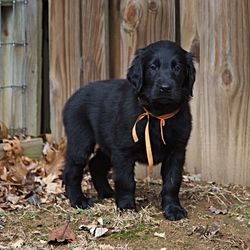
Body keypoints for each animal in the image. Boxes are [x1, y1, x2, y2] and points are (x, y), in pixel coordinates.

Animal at [62, 40, 195, 221]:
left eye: (177, 67)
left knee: (96, 163)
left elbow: (172, 182)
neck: (157, 114)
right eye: (153, 67)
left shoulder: (177, 151)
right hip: (80, 141)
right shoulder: (123, 151)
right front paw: (126, 207)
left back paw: (107, 192)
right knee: (72, 170)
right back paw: (79, 200)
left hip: (108, 143)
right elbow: (126, 181)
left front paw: (173, 209)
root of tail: (73, 96)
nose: (165, 88)